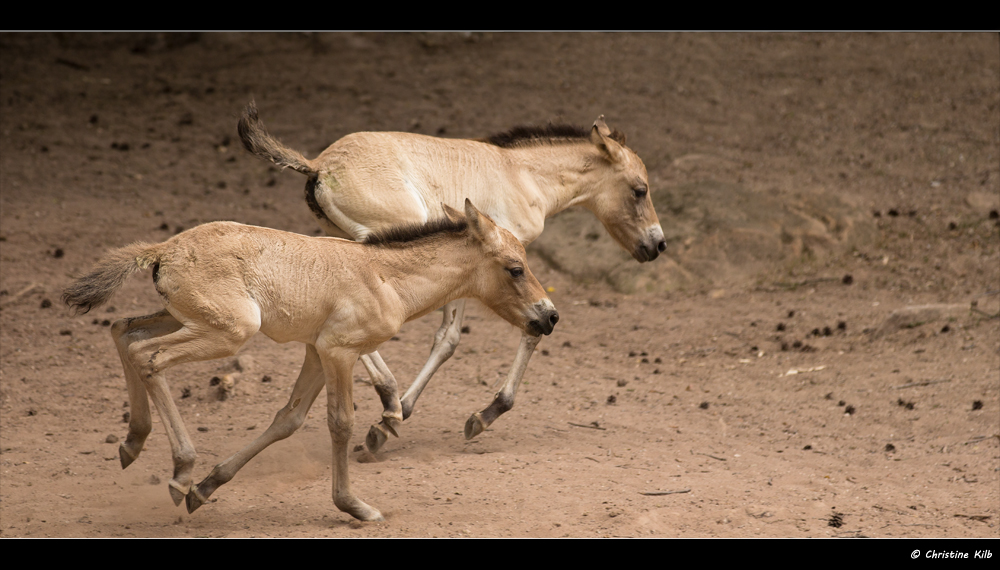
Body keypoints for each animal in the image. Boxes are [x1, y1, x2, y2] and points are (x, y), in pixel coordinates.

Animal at [62, 200, 560, 520]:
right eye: (516, 268)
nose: (549, 316)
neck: (386, 277)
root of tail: (164, 251)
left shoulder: (316, 353)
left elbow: (288, 419)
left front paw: (207, 488)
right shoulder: (340, 351)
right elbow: (340, 423)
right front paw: (354, 506)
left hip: (186, 319)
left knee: (124, 332)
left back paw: (134, 444)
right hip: (228, 331)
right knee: (148, 355)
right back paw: (180, 467)